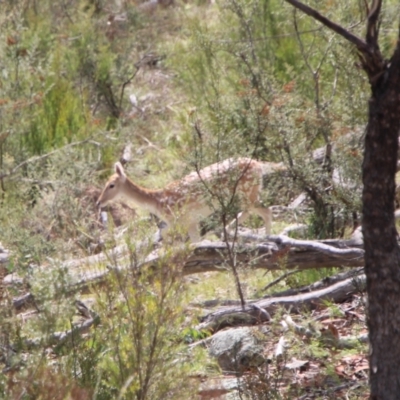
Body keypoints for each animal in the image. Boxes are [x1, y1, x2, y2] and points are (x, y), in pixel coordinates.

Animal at [96, 159, 284, 241]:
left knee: (266, 211)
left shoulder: (183, 218)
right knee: (256, 211)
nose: (98, 202)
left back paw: (267, 238)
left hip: (247, 192)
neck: (158, 202)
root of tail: (259, 164)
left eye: (111, 185)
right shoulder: (187, 221)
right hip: (247, 193)